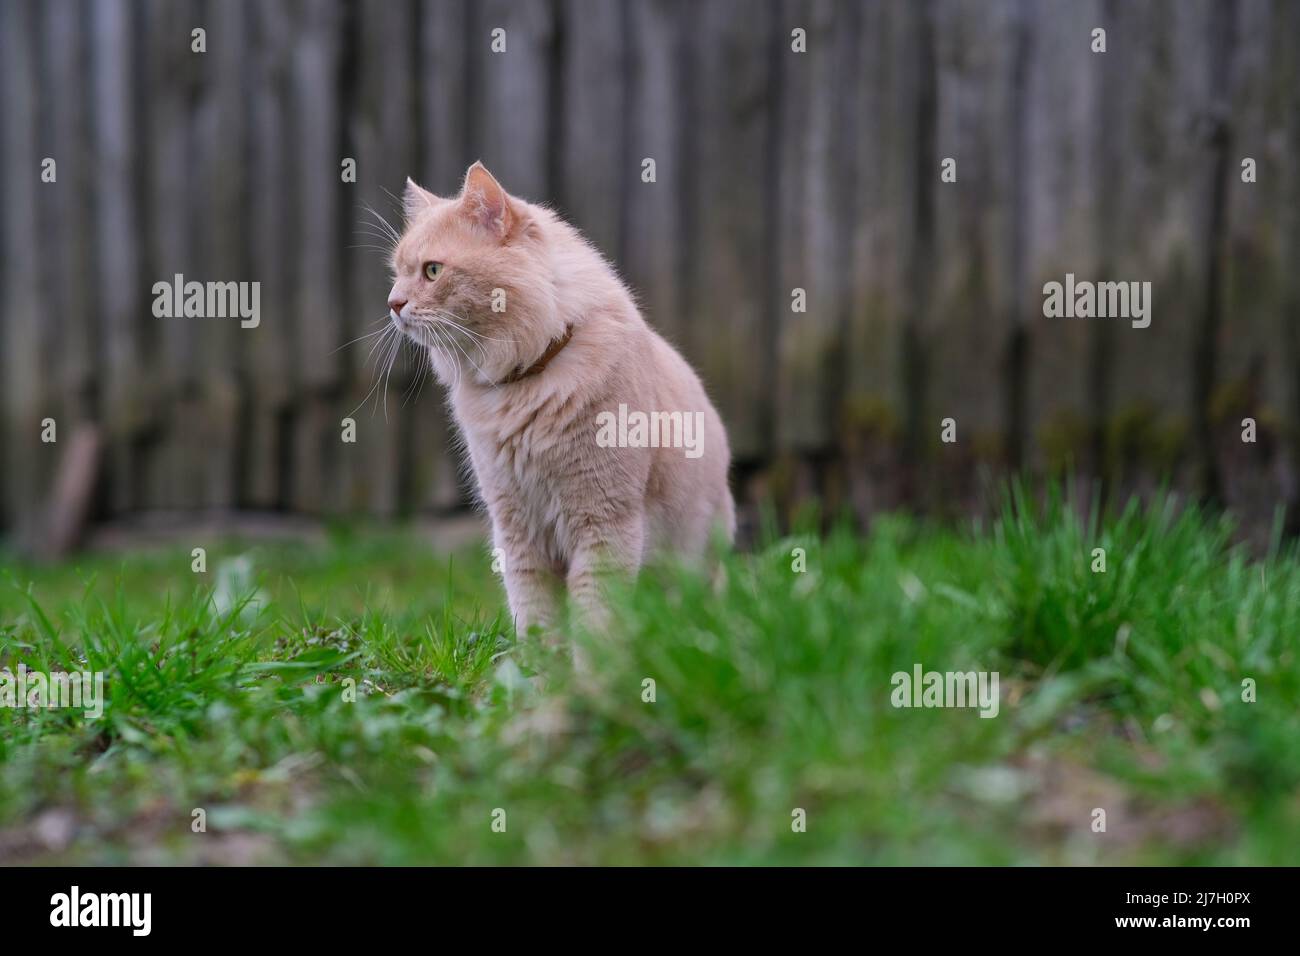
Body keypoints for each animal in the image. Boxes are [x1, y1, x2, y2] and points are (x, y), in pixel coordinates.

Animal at [384, 162, 738, 634]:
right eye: (398, 272)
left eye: (433, 271)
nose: (393, 304)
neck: (528, 378)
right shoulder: (517, 531)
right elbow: (537, 623)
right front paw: (540, 658)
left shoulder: (604, 525)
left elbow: (596, 623)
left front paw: (593, 659)